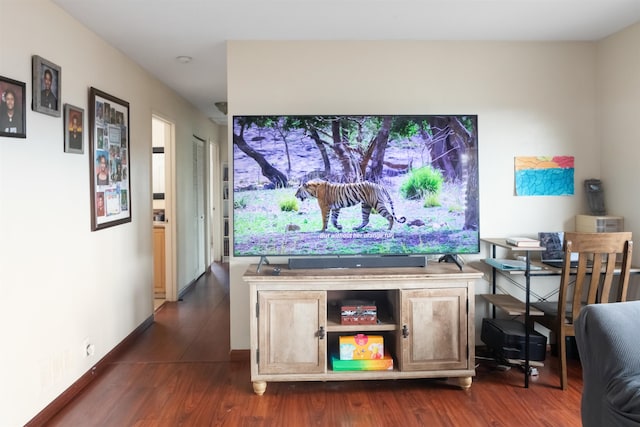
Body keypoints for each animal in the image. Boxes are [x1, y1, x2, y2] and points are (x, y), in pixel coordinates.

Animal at [232, 114, 478, 258]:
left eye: (298, 190)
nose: (294, 194)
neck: (314, 189)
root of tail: (380, 185)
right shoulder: (336, 207)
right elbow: (334, 218)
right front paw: (339, 228)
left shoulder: (325, 206)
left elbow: (325, 219)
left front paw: (323, 230)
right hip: (365, 205)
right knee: (366, 219)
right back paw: (358, 228)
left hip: (376, 203)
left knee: (389, 217)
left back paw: (388, 229)